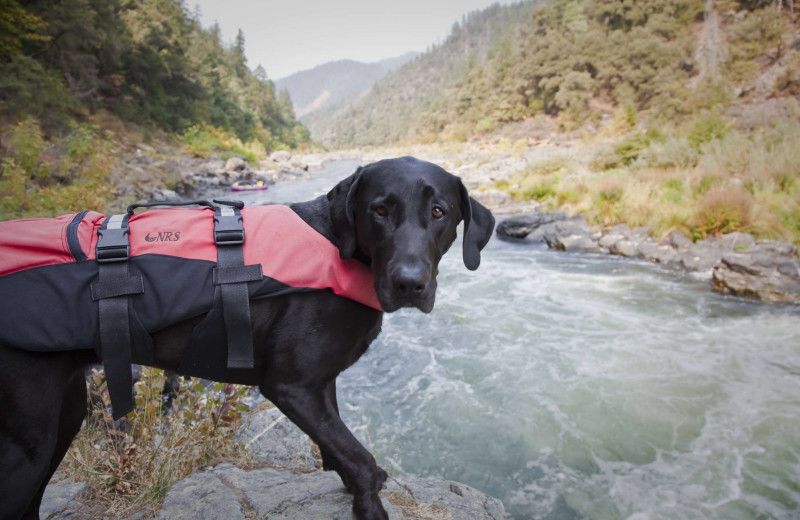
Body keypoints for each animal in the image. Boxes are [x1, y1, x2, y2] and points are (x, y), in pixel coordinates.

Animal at [0, 157, 494, 520]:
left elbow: (337, 450)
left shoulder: (321, 385)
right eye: (379, 210)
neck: (343, 250)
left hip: (65, 414)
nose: (410, 283)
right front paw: (369, 505)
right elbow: (361, 461)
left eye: (439, 212)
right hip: (27, 446)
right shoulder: (291, 386)